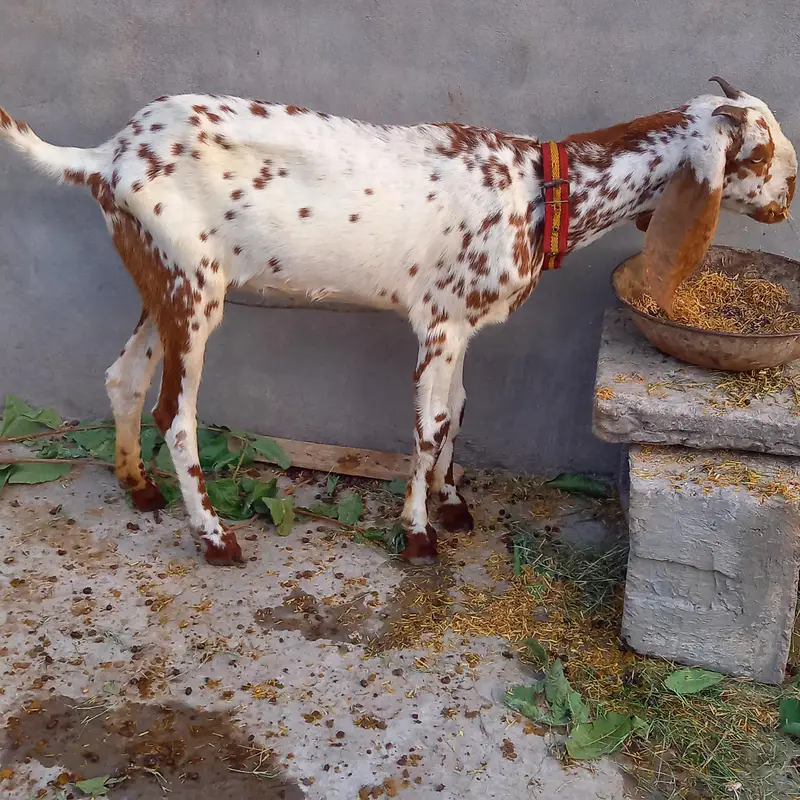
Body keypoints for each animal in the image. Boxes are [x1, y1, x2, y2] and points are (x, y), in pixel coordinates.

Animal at [0, 77, 795, 566]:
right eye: (761, 152)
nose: (788, 199)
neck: (540, 190)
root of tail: (105, 157)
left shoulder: (464, 324)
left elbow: (460, 410)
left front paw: (452, 503)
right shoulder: (437, 323)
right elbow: (427, 424)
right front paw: (418, 534)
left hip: (160, 283)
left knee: (124, 377)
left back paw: (138, 488)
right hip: (192, 292)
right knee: (176, 412)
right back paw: (216, 539)